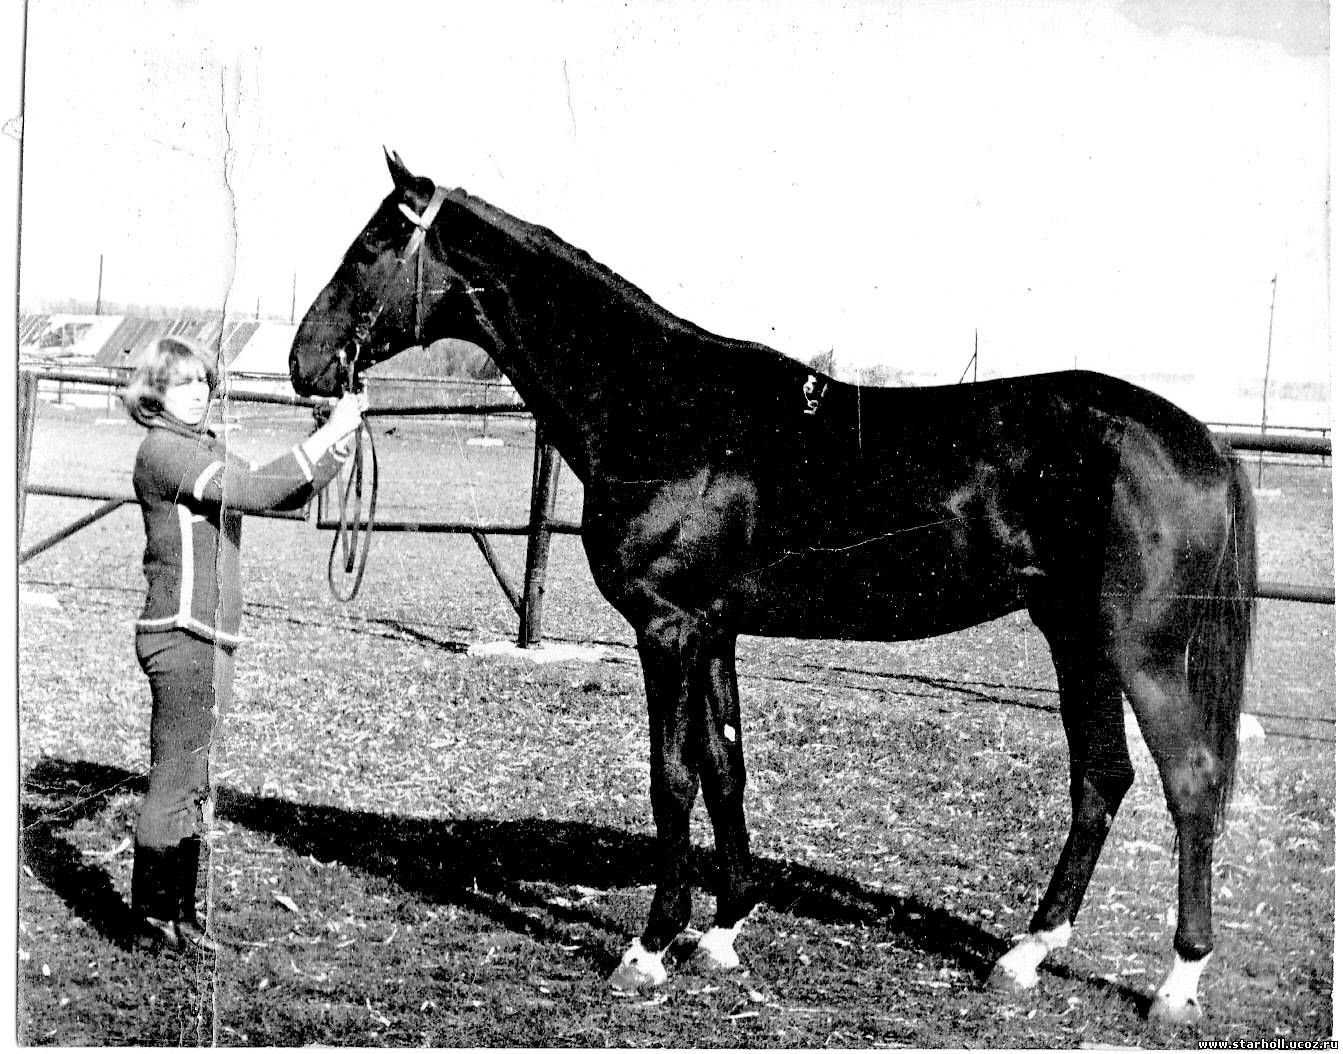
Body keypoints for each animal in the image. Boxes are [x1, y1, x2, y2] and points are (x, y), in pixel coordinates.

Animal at [288, 152, 1251, 1025]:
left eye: (370, 248)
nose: (306, 364)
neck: (663, 409)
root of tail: (1200, 441)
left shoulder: (666, 629)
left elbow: (671, 777)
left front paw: (647, 949)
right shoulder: (714, 629)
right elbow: (726, 768)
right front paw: (720, 934)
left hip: (1139, 648)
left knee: (1190, 781)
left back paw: (1175, 985)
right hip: (1072, 634)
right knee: (1100, 780)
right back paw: (1022, 956)